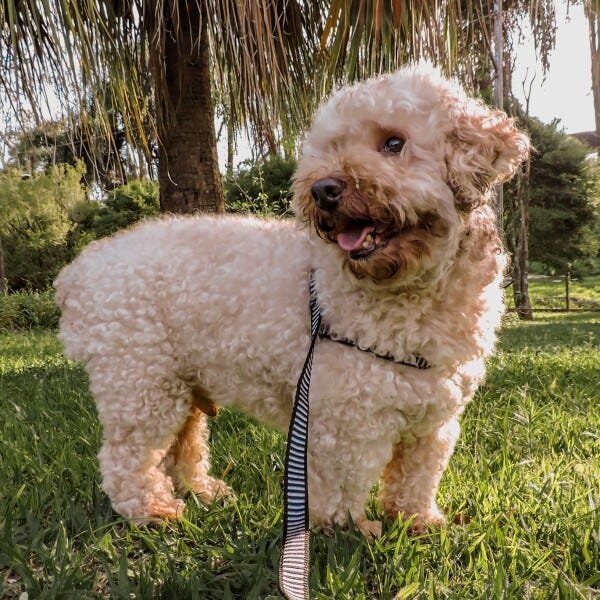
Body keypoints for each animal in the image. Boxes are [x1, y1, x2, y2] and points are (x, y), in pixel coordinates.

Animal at [54, 64, 528, 536]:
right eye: (330, 147)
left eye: (394, 143)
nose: (323, 190)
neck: (413, 293)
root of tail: (81, 271)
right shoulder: (347, 416)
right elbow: (344, 484)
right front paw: (348, 531)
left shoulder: (434, 419)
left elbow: (418, 474)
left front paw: (417, 521)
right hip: (141, 383)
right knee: (128, 454)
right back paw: (149, 509)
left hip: (180, 384)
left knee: (181, 444)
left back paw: (203, 492)